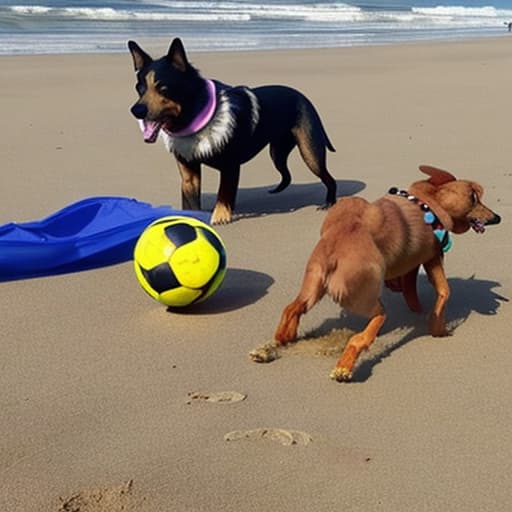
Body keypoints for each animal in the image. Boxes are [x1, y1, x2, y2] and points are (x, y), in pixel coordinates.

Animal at [128, 39, 338, 223]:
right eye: (140, 88)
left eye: (163, 88)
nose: (136, 110)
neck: (193, 117)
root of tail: (303, 97)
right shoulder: (189, 173)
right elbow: (191, 201)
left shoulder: (230, 167)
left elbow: (224, 193)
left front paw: (220, 217)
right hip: (277, 152)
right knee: (286, 174)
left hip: (310, 152)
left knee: (328, 178)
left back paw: (329, 202)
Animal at [272, 164, 500, 380]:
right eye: (474, 198)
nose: (497, 217)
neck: (428, 205)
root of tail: (336, 250)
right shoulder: (433, 259)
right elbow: (443, 291)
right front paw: (437, 327)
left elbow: (409, 287)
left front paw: (410, 300)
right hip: (365, 301)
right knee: (363, 334)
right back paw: (343, 368)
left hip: (313, 286)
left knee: (292, 308)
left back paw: (283, 338)